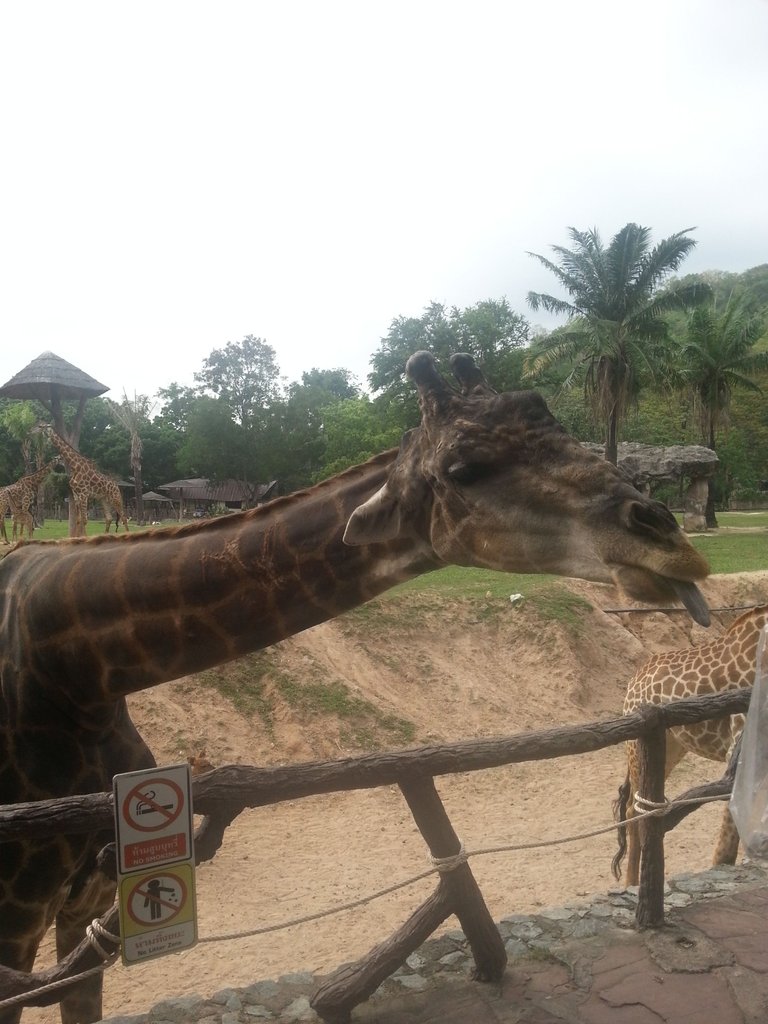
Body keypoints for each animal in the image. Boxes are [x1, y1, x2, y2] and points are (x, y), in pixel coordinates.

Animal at [0, 354, 712, 1024]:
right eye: (462, 469)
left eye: (558, 424)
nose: (674, 545)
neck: (77, 668)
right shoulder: (20, 915)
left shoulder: (95, 895)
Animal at [618, 602, 768, 884]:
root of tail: (634, 679)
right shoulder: (739, 747)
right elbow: (725, 850)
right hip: (636, 744)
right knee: (635, 809)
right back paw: (631, 883)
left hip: (673, 746)